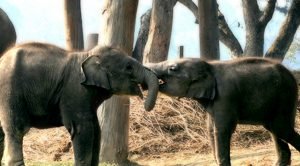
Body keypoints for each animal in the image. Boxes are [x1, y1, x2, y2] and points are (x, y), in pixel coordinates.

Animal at [0, 42, 159, 165]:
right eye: (128, 67)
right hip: (10, 91)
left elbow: (96, 129)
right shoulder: (75, 91)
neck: (87, 54)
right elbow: (83, 129)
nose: (145, 103)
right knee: (16, 129)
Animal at [147, 57, 300, 166]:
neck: (209, 65)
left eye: (172, 68)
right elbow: (210, 129)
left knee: (281, 129)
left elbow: (222, 129)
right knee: (275, 130)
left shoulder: (226, 95)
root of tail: (291, 74)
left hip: (285, 97)